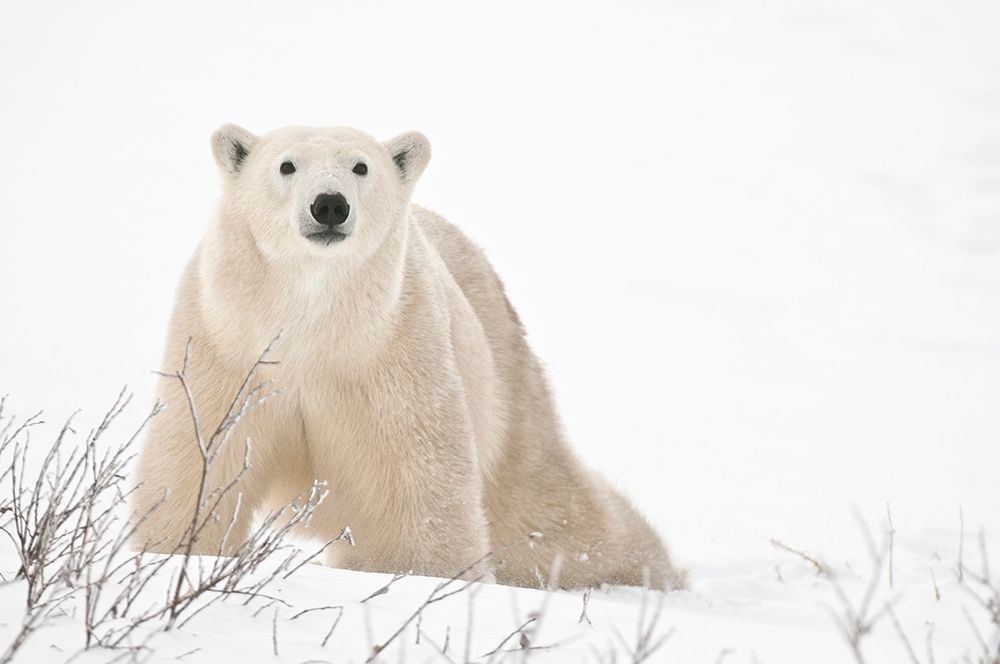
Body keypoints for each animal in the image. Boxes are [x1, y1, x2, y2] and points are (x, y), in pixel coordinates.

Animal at [130, 124, 686, 591]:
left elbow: (413, 480)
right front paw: (172, 552)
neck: (313, 323)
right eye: (286, 165)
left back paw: (647, 572)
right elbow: (198, 454)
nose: (328, 205)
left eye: (360, 167)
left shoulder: (393, 349)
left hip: (505, 378)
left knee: (544, 509)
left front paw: (419, 576)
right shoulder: (226, 342)